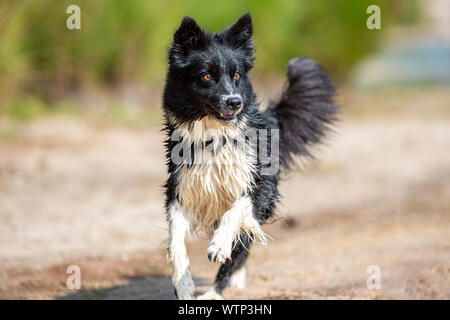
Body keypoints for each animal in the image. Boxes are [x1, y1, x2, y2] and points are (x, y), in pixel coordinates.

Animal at [163, 13, 338, 298]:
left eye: (236, 75)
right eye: (206, 76)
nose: (235, 102)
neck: (216, 138)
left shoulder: (262, 188)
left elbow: (236, 211)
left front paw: (219, 245)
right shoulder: (181, 187)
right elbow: (175, 239)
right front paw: (183, 284)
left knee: (240, 247)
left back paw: (218, 288)